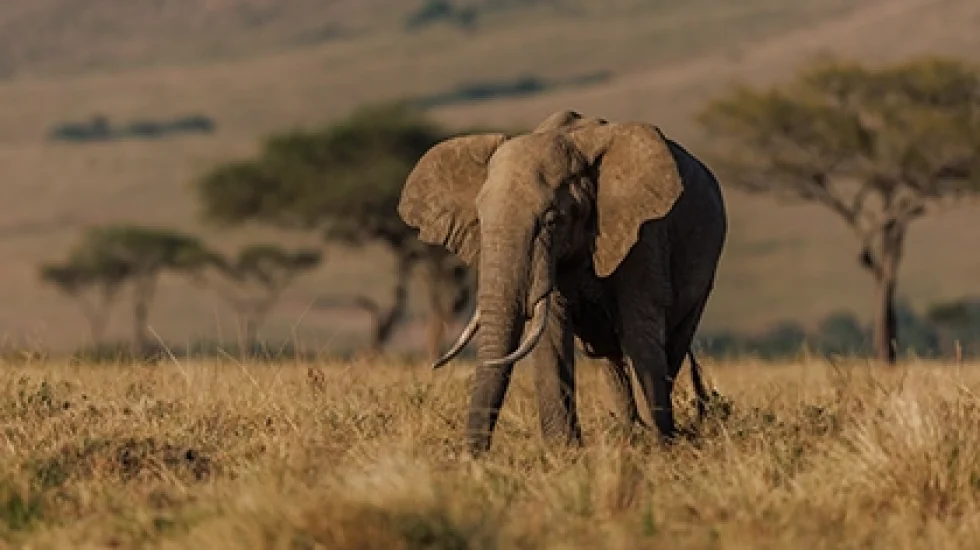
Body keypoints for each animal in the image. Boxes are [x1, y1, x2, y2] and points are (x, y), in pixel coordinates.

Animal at [398, 109, 727, 456]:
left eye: (551, 220)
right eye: (480, 219)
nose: (473, 457)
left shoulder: (644, 232)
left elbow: (640, 330)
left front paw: (659, 450)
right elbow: (551, 331)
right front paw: (564, 452)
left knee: (670, 343)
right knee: (610, 359)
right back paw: (627, 435)